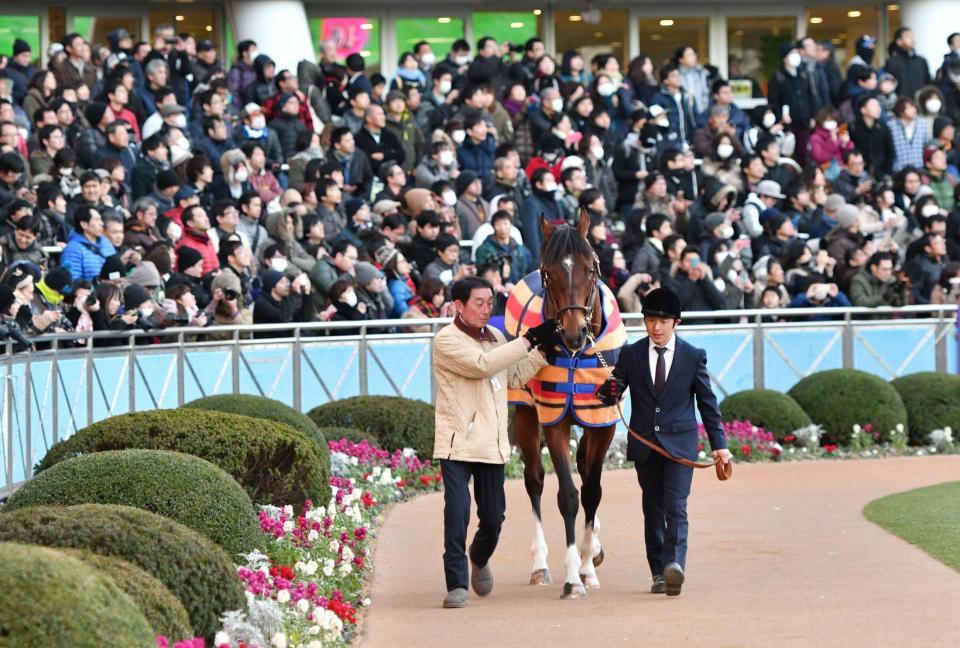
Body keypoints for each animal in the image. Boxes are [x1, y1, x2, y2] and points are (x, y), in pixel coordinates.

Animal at [506, 210, 628, 600]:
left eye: (590, 268)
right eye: (549, 271)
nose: (574, 333)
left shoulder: (603, 419)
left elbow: (592, 490)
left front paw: (589, 566)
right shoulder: (554, 416)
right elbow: (569, 496)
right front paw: (573, 576)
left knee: (586, 469)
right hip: (525, 411)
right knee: (534, 480)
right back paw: (540, 564)